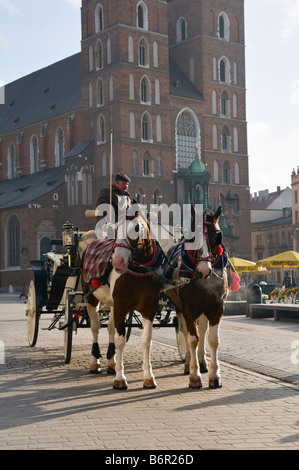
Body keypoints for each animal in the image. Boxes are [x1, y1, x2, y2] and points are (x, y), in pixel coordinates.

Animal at [165, 207, 231, 390]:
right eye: (192, 238)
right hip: (179, 307)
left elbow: (213, 340)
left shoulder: (217, 307)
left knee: (202, 330)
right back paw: (189, 363)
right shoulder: (188, 308)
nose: (203, 270)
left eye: (217, 236)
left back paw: (202, 362)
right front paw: (195, 377)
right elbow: (192, 339)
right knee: (186, 331)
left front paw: (215, 376)